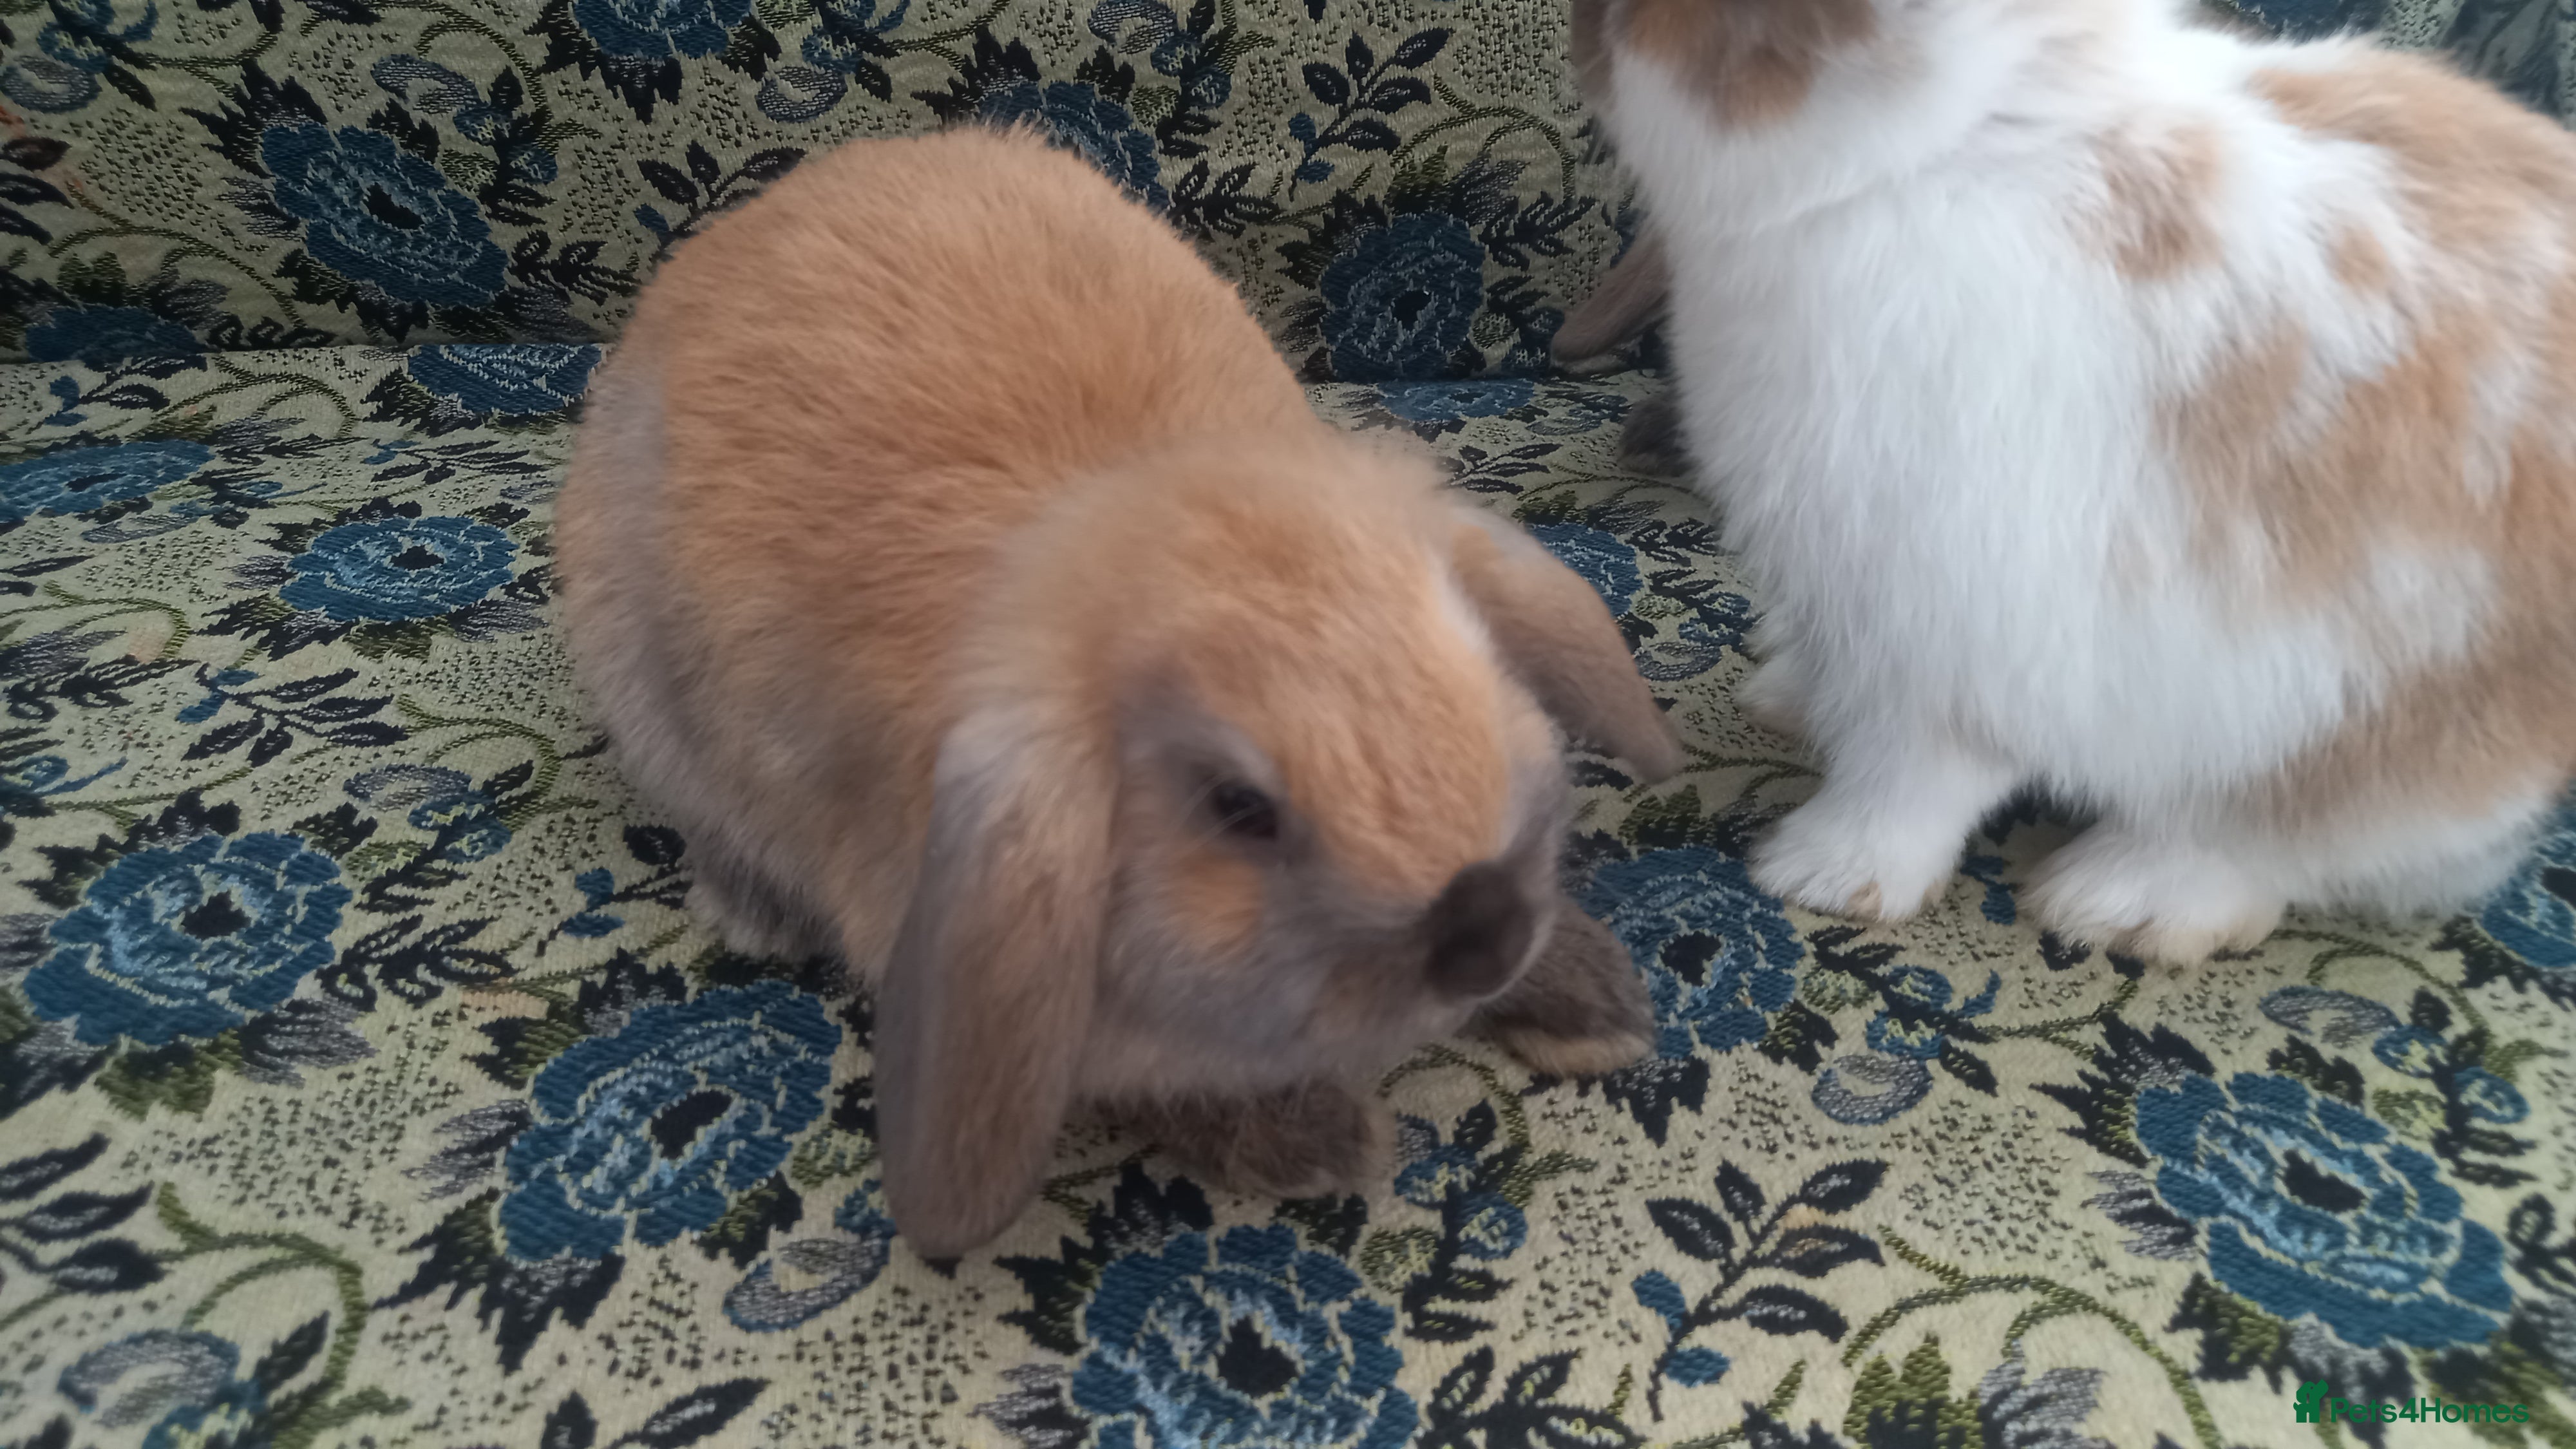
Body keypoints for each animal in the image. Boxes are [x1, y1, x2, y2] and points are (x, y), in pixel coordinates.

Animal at [554, 125, 1687, 1258]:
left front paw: (1596, 1006)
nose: (1486, 934)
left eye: (1479, 661)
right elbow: (1138, 1079)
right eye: (1238, 806)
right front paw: (1314, 1138)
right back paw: (754, 908)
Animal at [1570, 0, 2576, 962]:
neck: (1940, 150)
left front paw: (1820, 873)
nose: (1588, 41)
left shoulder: (1948, 627)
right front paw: (1790, 702)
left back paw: (2118, 901)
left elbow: (1910, 774)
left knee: (2284, 844)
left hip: (2359, 722)